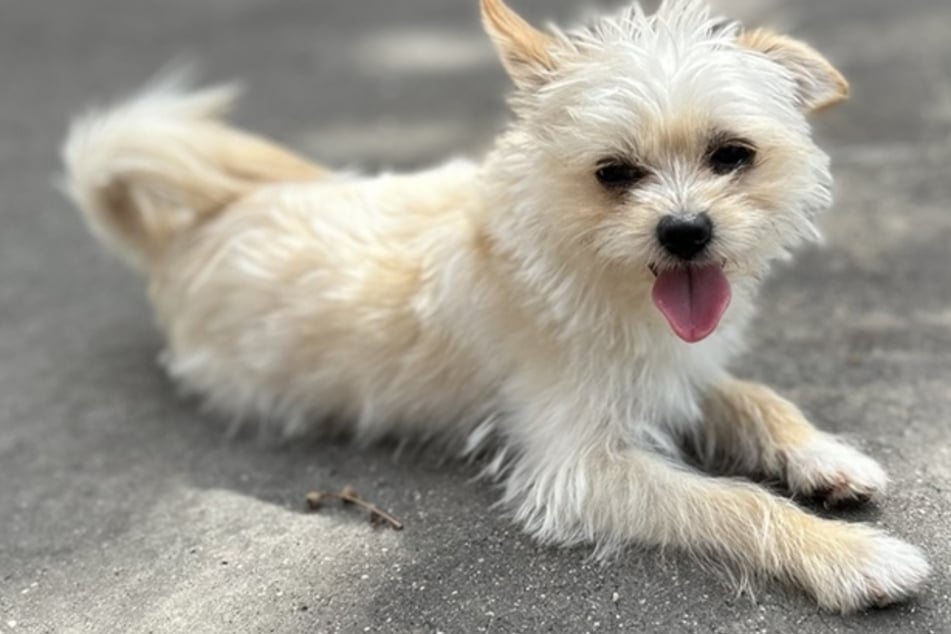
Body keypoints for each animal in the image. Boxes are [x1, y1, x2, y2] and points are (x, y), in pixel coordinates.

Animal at [61, 0, 928, 612]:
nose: (685, 231)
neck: (588, 270)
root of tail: (194, 226)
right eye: (613, 173)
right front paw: (851, 556)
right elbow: (735, 503)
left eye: (731, 156)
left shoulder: (672, 370)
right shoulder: (583, 469)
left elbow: (757, 398)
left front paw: (824, 457)